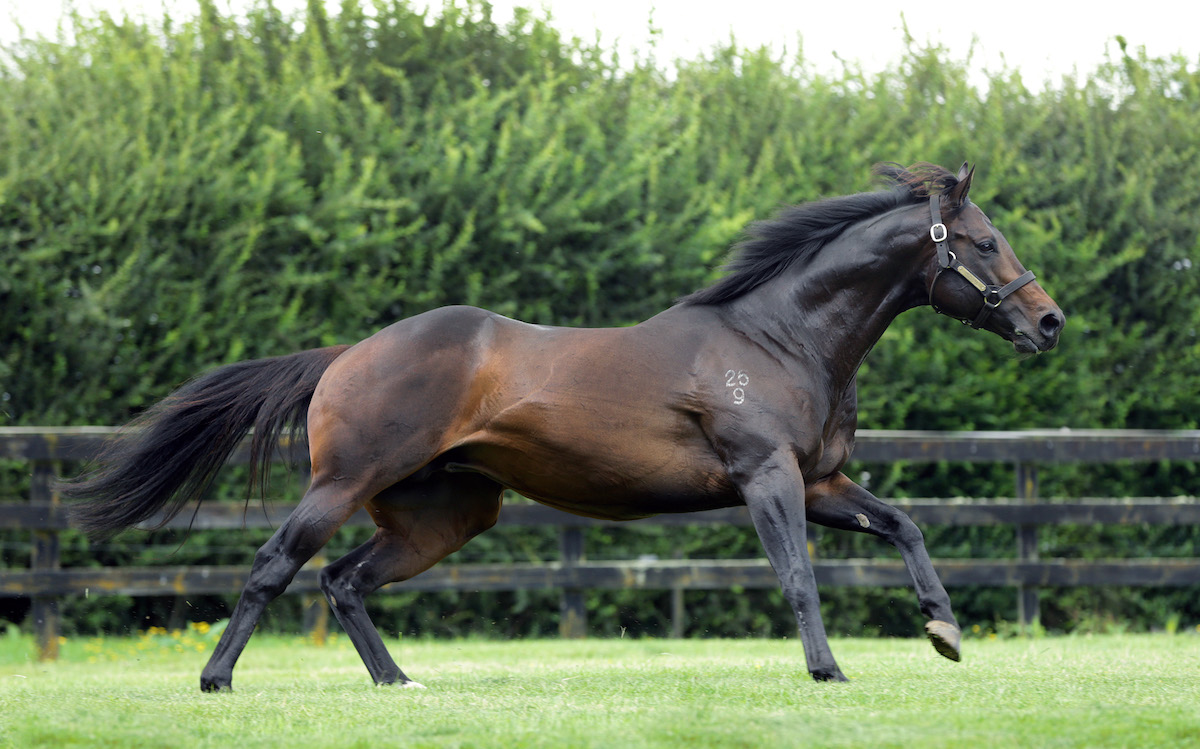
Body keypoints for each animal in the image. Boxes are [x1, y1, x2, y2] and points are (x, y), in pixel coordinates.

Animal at [60, 160, 1065, 686]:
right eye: (983, 242)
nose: (1048, 322)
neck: (780, 334)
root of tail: (345, 355)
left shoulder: (821, 481)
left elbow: (906, 526)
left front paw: (944, 630)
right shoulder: (768, 479)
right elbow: (798, 578)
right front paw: (829, 670)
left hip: (444, 514)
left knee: (345, 581)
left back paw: (397, 682)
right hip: (344, 483)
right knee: (277, 565)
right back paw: (216, 678)